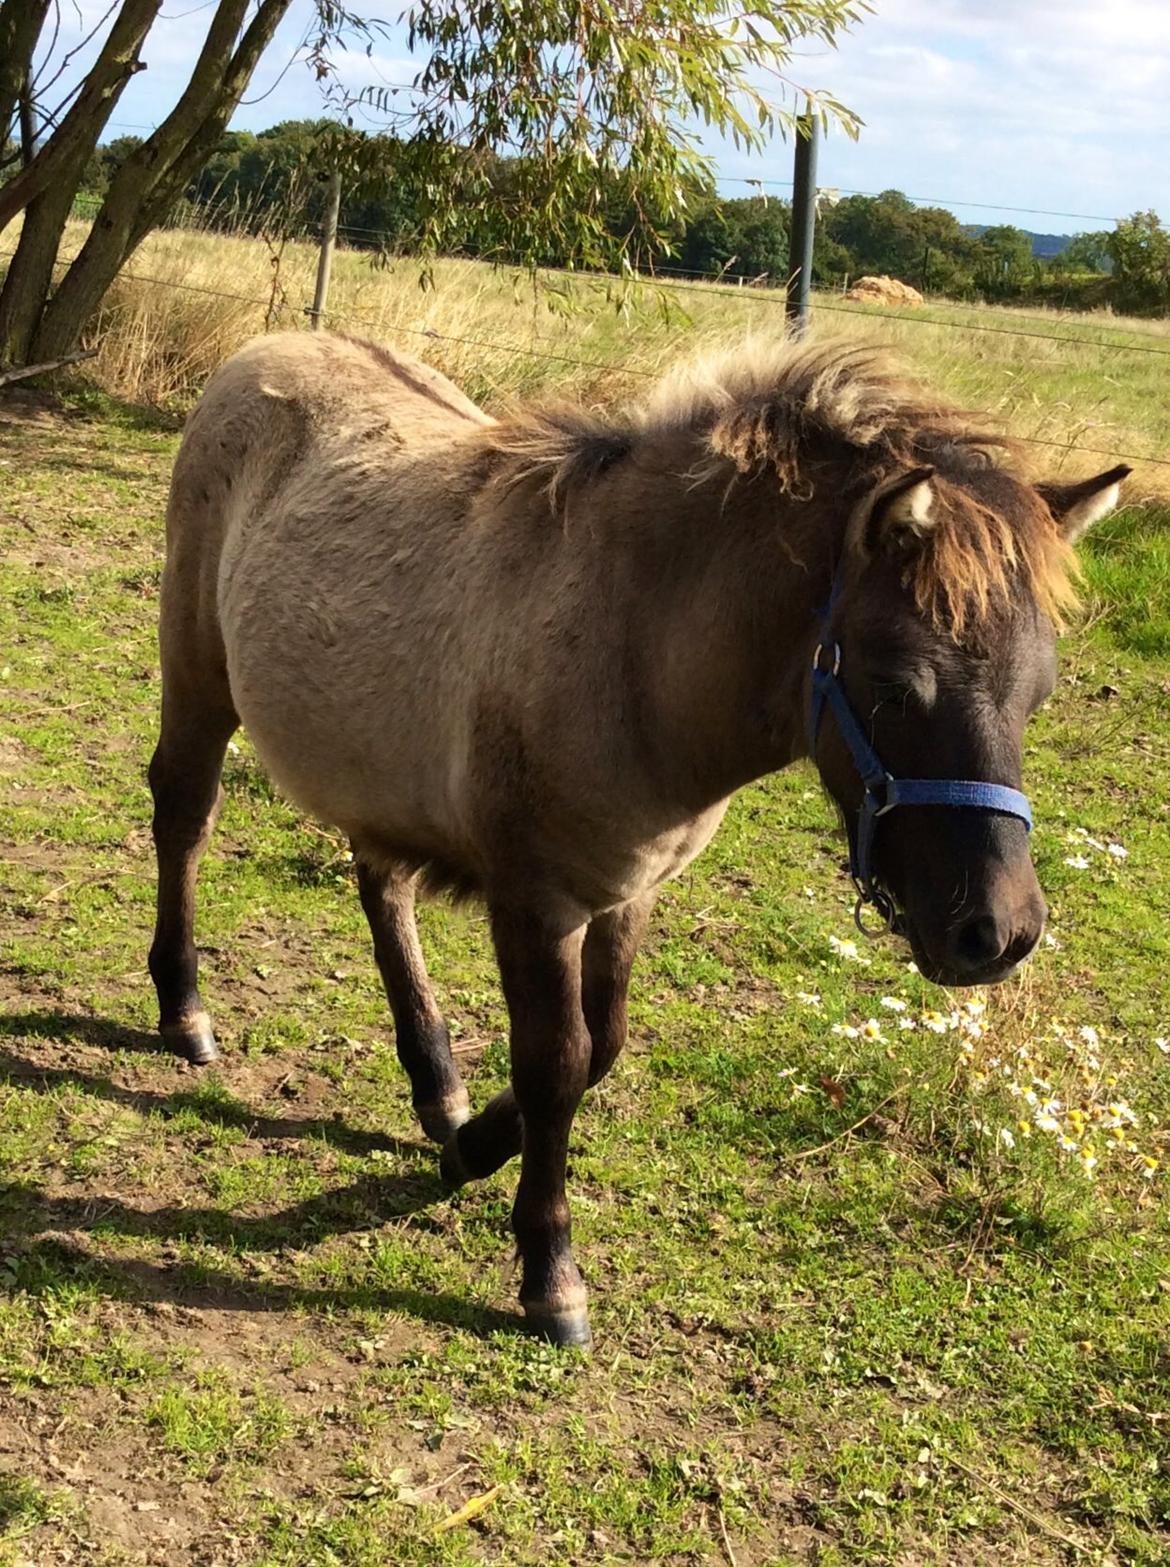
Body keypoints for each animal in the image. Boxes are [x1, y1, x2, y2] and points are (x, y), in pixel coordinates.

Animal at [146, 333, 1127, 1347]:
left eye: (1039, 693)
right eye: (897, 685)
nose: (1000, 933)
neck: (628, 643)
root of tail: (265, 349)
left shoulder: (628, 890)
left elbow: (604, 1044)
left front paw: (469, 1148)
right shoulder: (536, 904)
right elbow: (557, 1065)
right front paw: (550, 1271)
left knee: (384, 885)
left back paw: (437, 1082)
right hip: (199, 676)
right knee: (184, 817)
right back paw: (185, 1009)